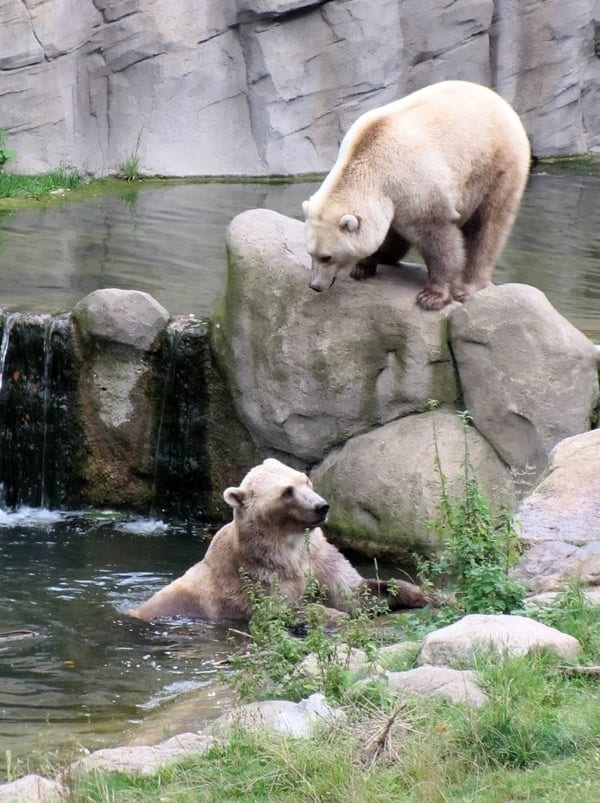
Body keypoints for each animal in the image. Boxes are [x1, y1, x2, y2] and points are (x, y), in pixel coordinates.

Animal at [127, 458, 426, 620]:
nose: (321, 507)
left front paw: (422, 593)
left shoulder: (318, 557)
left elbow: (352, 590)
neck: (288, 548)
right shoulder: (254, 575)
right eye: (286, 491)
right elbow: (281, 609)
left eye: (306, 480)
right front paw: (334, 615)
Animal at [304, 79, 528, 310]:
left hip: (495, 165)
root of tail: (500, 100)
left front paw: (432, 297)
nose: (315, 286)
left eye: (327, 257)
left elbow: (438, 238)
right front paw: (363, 266)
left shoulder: (416, 183)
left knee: (487, 225)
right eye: (310, 253)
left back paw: (467, 287)